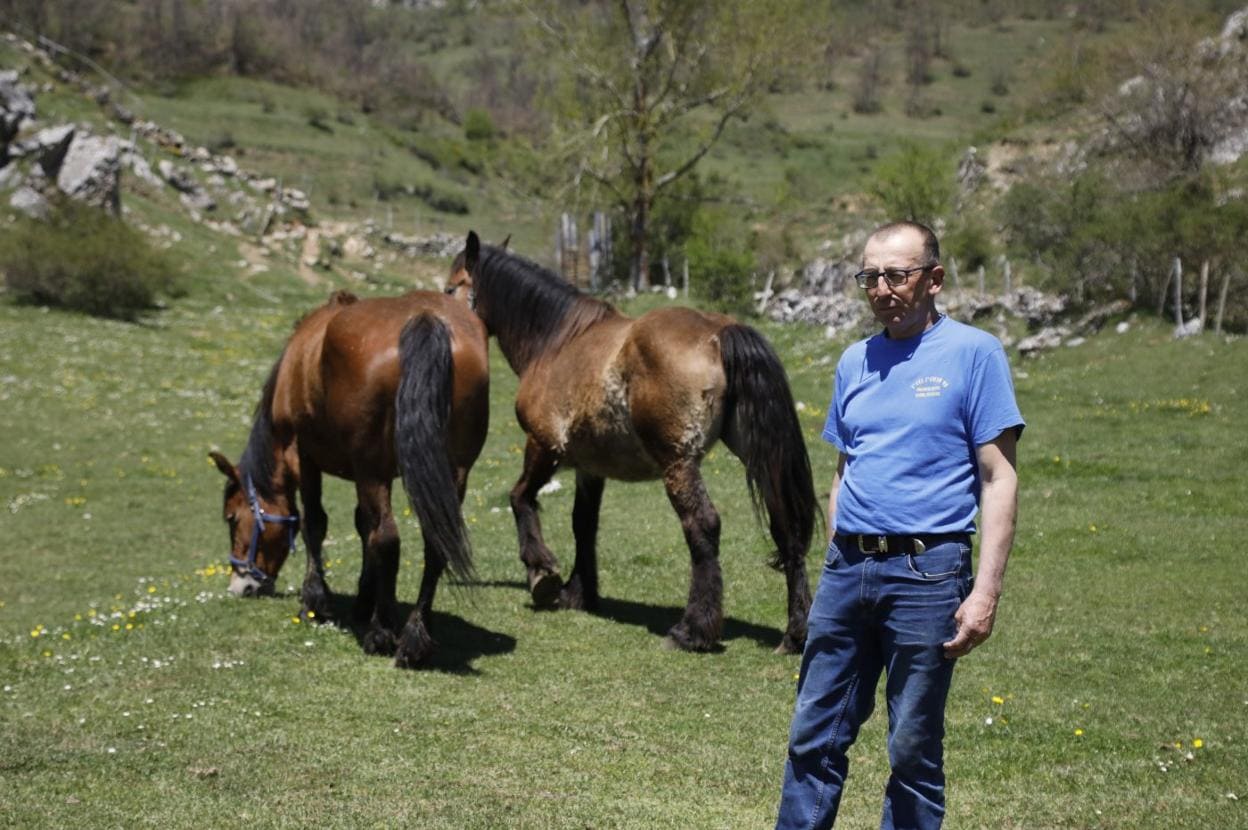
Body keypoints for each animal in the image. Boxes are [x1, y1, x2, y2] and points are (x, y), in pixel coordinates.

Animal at [209, 289, 486, 668]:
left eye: (232, 519)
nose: (240, 585)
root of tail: (426, 318)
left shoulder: (305, 457)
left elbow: (315, 523)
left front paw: (315, 601)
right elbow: (361, 526)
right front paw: (364, 598)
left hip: (373, 469)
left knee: (388, 537)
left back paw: (383, 633)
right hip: (452, 472)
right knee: (435, 540)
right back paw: (418, 632)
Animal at [449, 233, 818, 654]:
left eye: (452, 287)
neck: (556, 342)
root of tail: (719, 333)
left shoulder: (542, 445)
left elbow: (519, 497)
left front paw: (542, 573)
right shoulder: (590, 467)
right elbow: (583, 524)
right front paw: (579, 592)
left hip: (678, 465)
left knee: (703, 525)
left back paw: (693, 630)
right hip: (758, 458)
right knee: (785, 525)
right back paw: (795, 633)